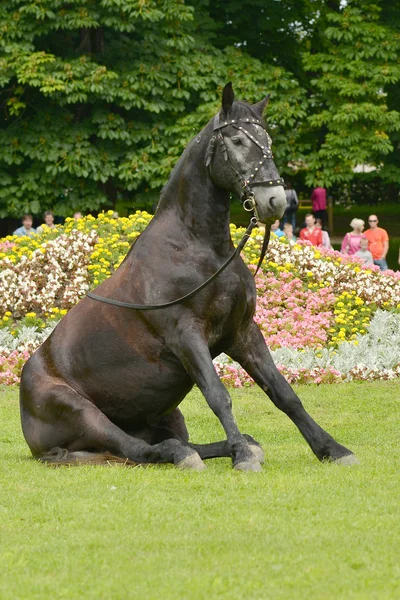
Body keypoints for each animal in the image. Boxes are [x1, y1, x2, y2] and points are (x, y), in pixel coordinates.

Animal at [19, 83, 356, 468]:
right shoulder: (186, 336)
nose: (275, 201)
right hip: (82, 411)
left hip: (166, 413)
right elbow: (218, 395)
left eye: (267, 140)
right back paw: (186, 454)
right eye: (237, 140)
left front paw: (332, 449)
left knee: (169, 442)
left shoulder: (242, 334)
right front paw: (243, 458)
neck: (196, 248)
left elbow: (284, 393)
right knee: (134, 447)